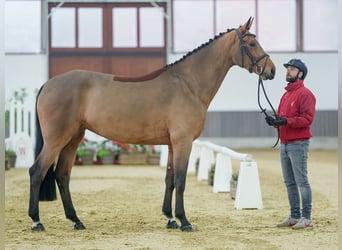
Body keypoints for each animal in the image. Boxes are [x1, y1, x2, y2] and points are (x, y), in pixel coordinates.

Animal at [28, 18, 276, 232]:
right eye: (252, 43)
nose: (272, 70)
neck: (188, 84)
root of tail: (48, 84)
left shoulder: (172, 145)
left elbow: (169, 180)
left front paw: (170, 218)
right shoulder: (183, 142)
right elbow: (180, 180)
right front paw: (184, 221)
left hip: (73, 138)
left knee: (62, 175)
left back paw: (76, 220)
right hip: (56, 139)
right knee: (37, 171)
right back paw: (37, 221)